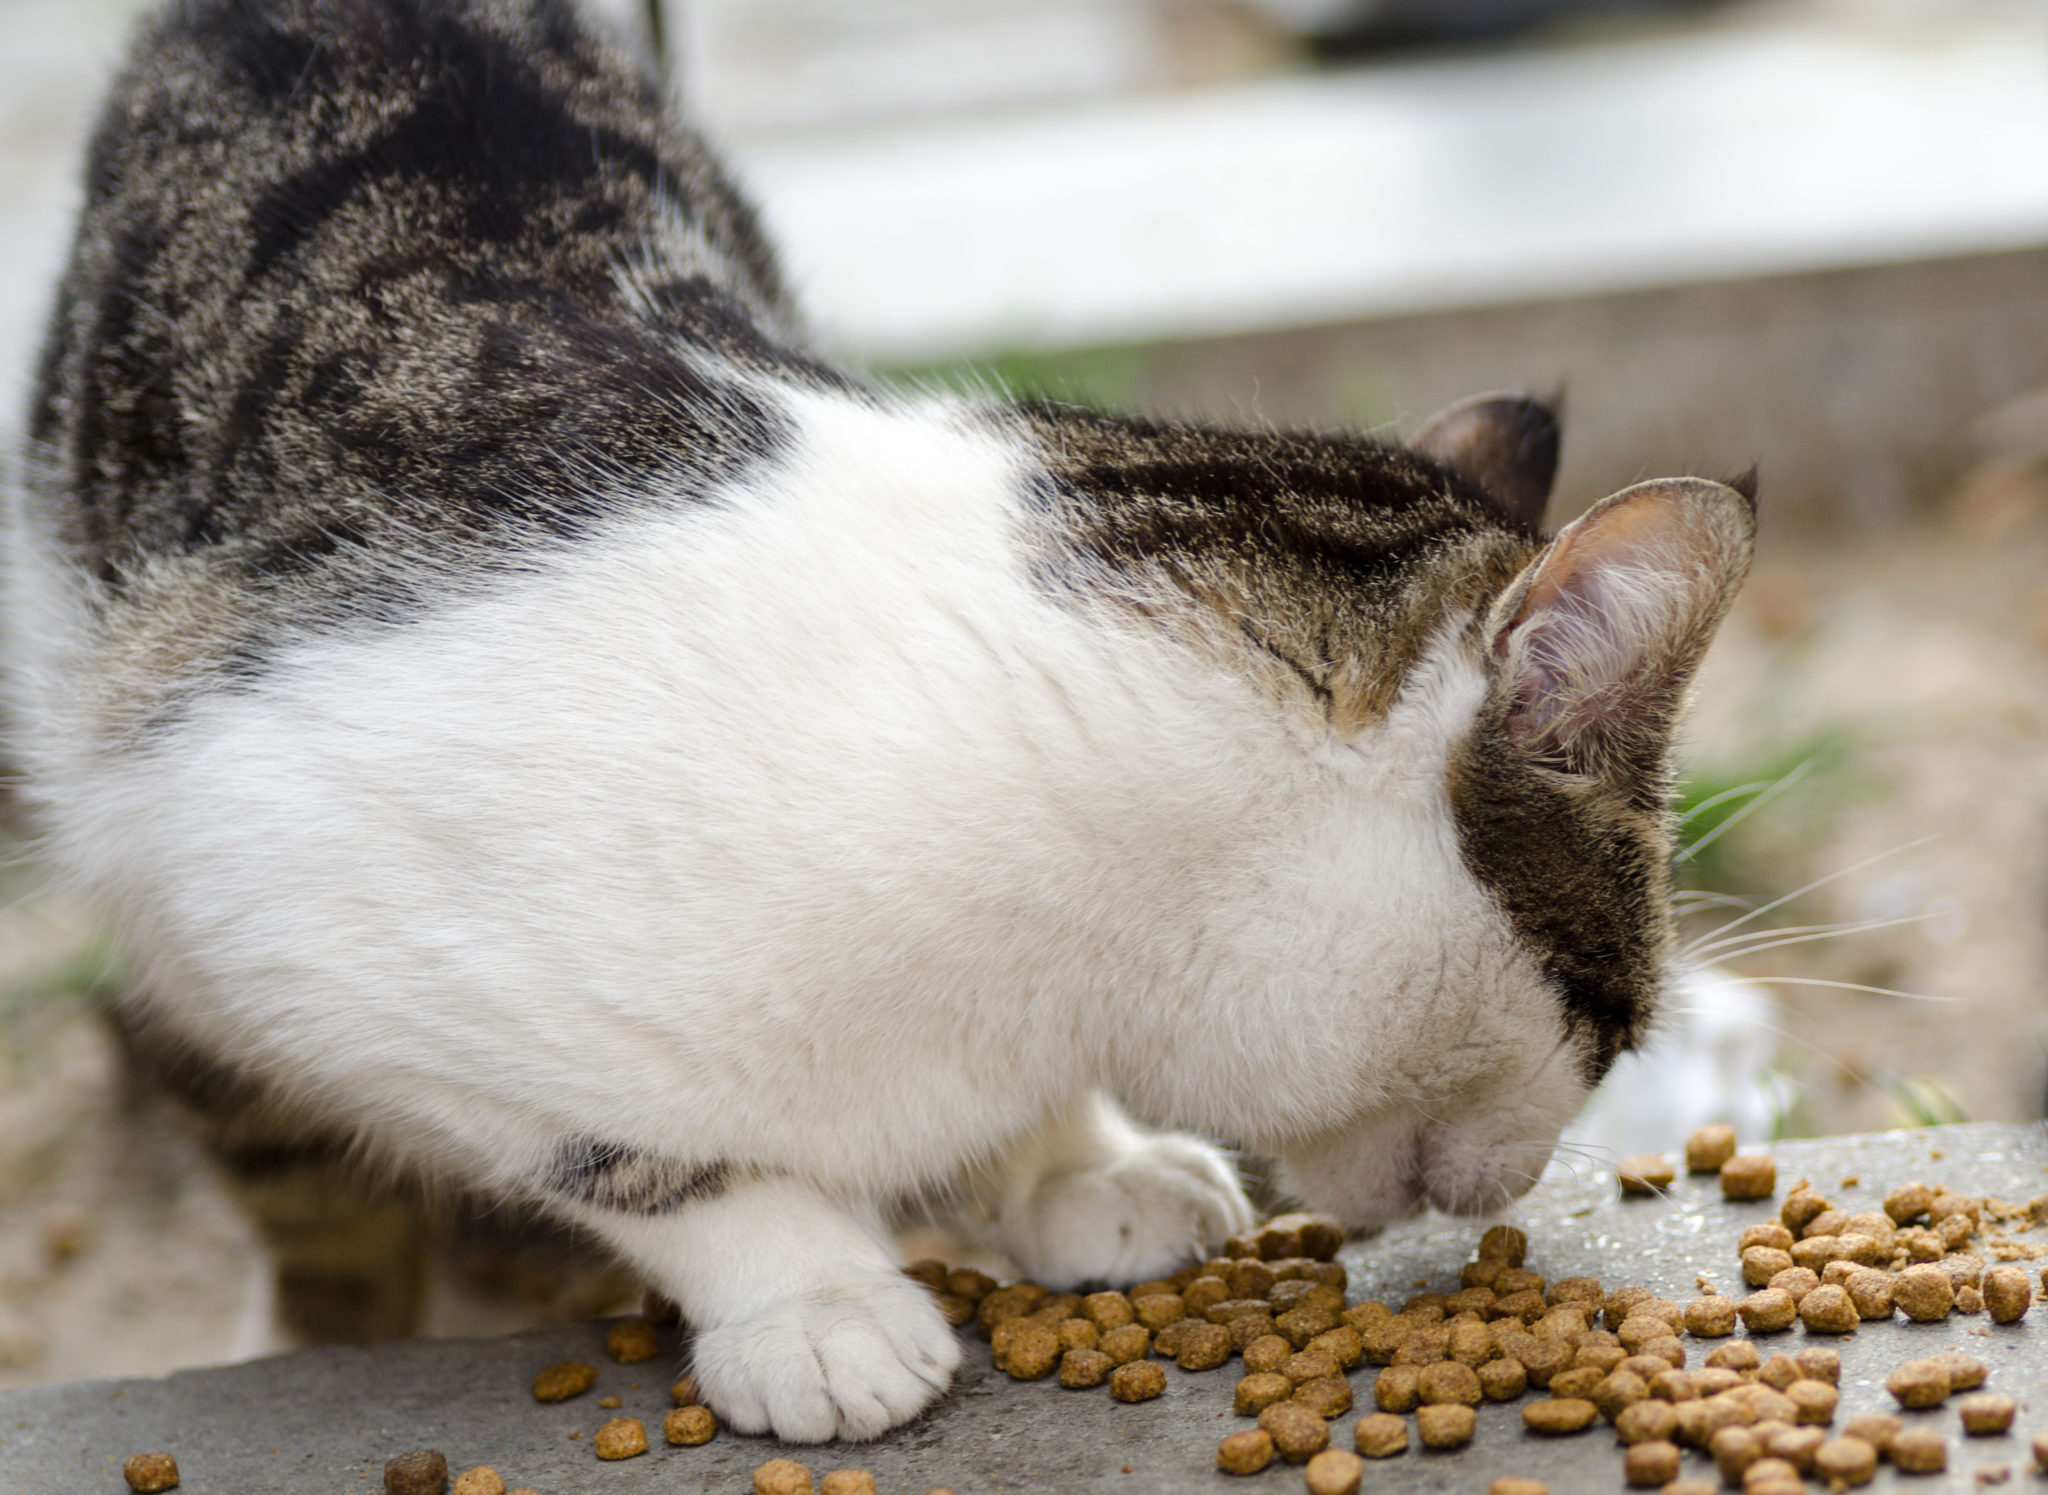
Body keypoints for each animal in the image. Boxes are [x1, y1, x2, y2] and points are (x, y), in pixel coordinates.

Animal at [8, 0, 1753, 1441]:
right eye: (1615, 1012)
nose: (1531, 1169)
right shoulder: (263, 878)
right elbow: (634, 1147)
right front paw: (816, 1299)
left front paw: (1072, 1165)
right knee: (301, 1192)